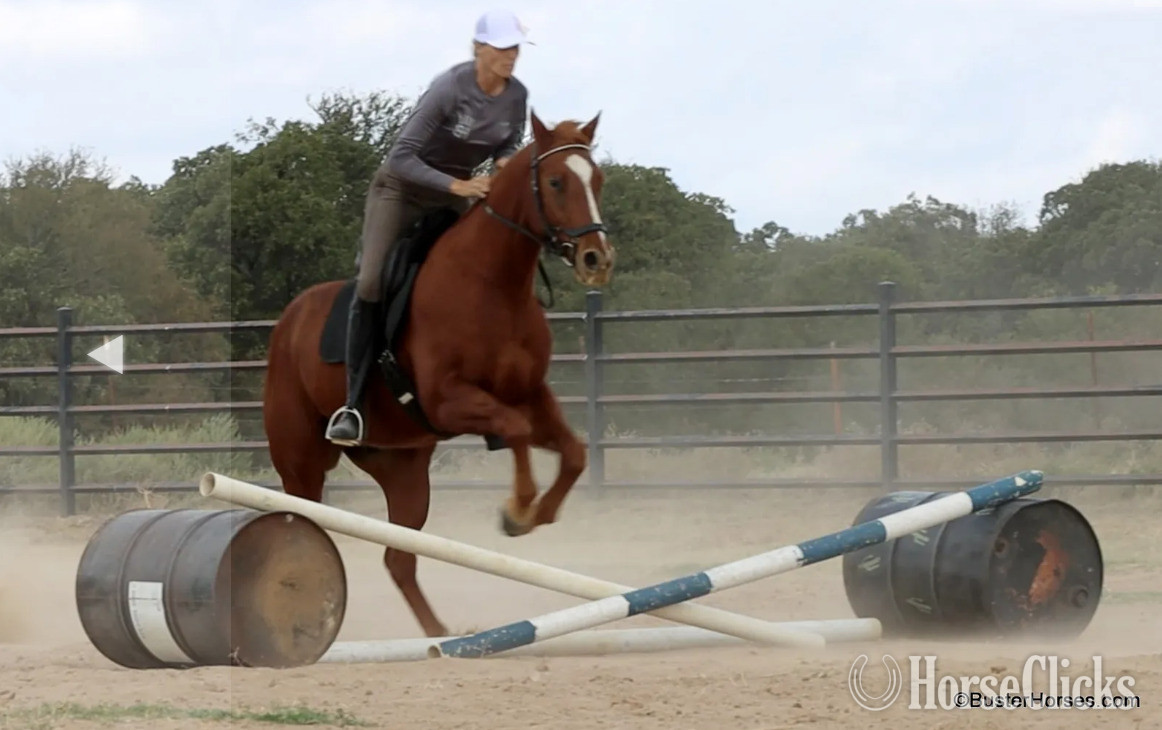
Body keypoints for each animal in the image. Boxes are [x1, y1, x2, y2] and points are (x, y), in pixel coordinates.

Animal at [261, 111, 615, 637]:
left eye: (598, 179)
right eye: (555, 181)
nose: (597, 258)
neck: (493, 284)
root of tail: (289, 321)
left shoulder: (530, 394)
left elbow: (571, 452)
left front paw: (536, 514)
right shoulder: (449, 400)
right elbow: (515, 429)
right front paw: (517, 510)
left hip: (403, 468)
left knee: (398, 559)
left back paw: (439, 636)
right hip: (301, 462)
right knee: (304, 527)